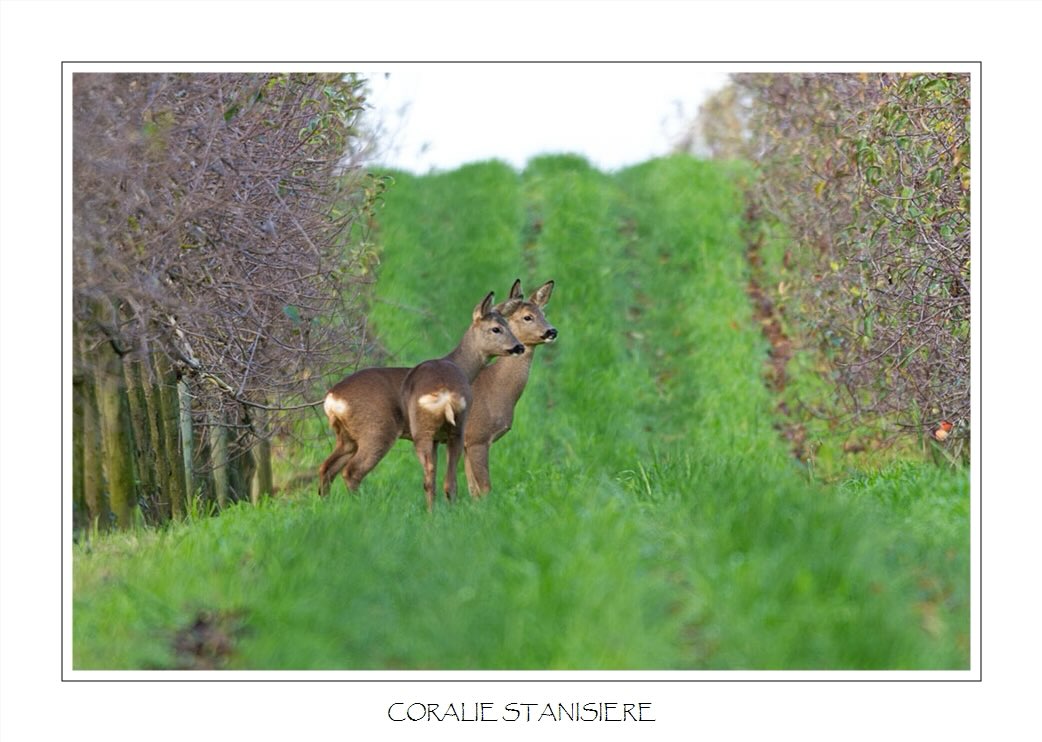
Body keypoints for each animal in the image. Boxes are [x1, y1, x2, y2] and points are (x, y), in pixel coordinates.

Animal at [464, 279, 557, 497]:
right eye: (527, 317)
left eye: (544, 314)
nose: (552, 331)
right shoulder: (477, 437)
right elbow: (484, 489)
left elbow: (473, 491)